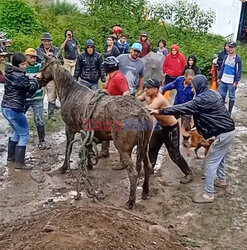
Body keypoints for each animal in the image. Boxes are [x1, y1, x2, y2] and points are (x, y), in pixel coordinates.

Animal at [38, 54, 153, 209]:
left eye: (42, 64)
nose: (38, 78)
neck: (71, 92)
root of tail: (140, 114)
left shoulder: (69, 129)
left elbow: (68, 149)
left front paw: (63, 167)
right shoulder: (85, 133)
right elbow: (87, 149)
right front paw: (89, 165)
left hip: (123, 149)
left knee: (133, 174)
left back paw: (131, 201)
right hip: (145, 146)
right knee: (148, 167)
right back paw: (145, 192)